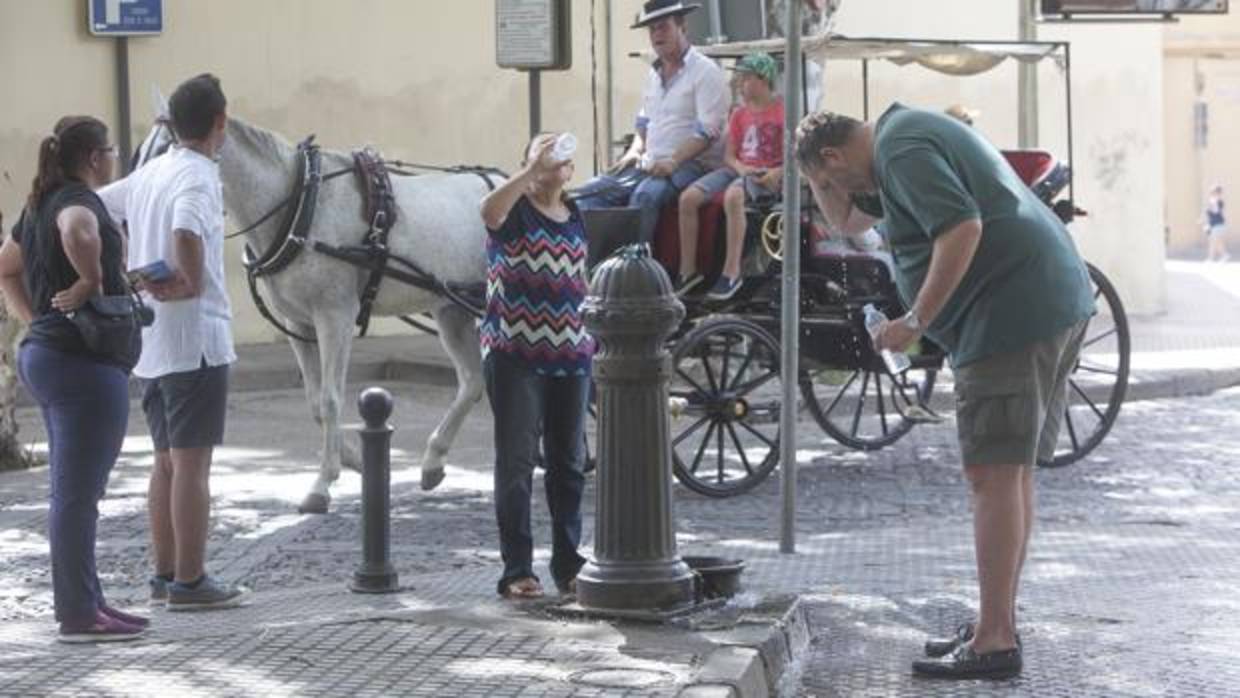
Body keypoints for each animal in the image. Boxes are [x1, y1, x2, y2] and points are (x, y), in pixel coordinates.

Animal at [137, 109, 498, 513]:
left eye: (166, 149)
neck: (298, 204)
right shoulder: (299, 321)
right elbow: (313, 401)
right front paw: (355, 458)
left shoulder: (334, 317)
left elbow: (330, 399)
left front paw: (322, 483)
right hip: (452, 311)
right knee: (472, 382)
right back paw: (433, 460)